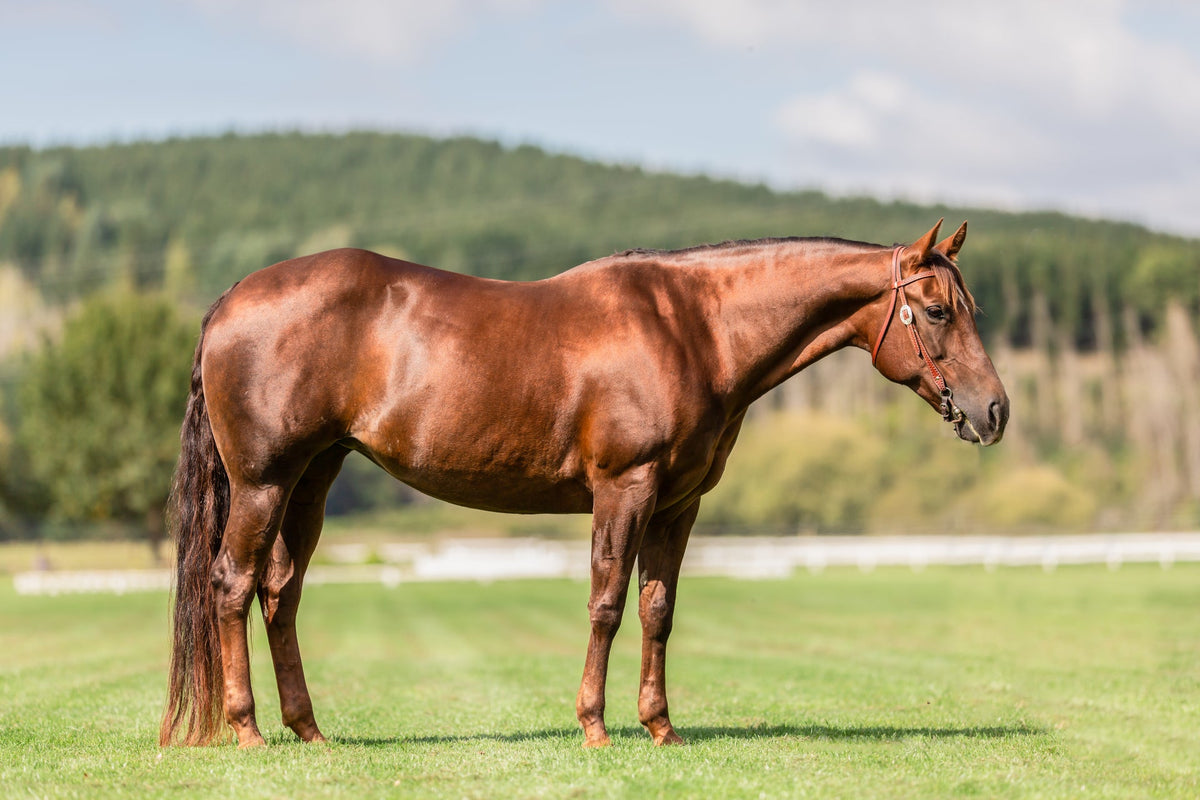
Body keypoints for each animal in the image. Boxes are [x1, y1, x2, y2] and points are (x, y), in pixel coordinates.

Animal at [159, 219, 1008, 749]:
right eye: (936, 310)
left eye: (967, 305)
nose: (994, 410)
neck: (692, 327)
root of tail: (233, 299)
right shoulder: (624, 489)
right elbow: (606, 603)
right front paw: (595, 724)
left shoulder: (678, 504)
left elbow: (658, 610)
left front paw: (661, 726)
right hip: (264, 481)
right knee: (232, 584)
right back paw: (247, 728)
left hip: (313, 478)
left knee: (280, 593)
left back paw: (309, 729)